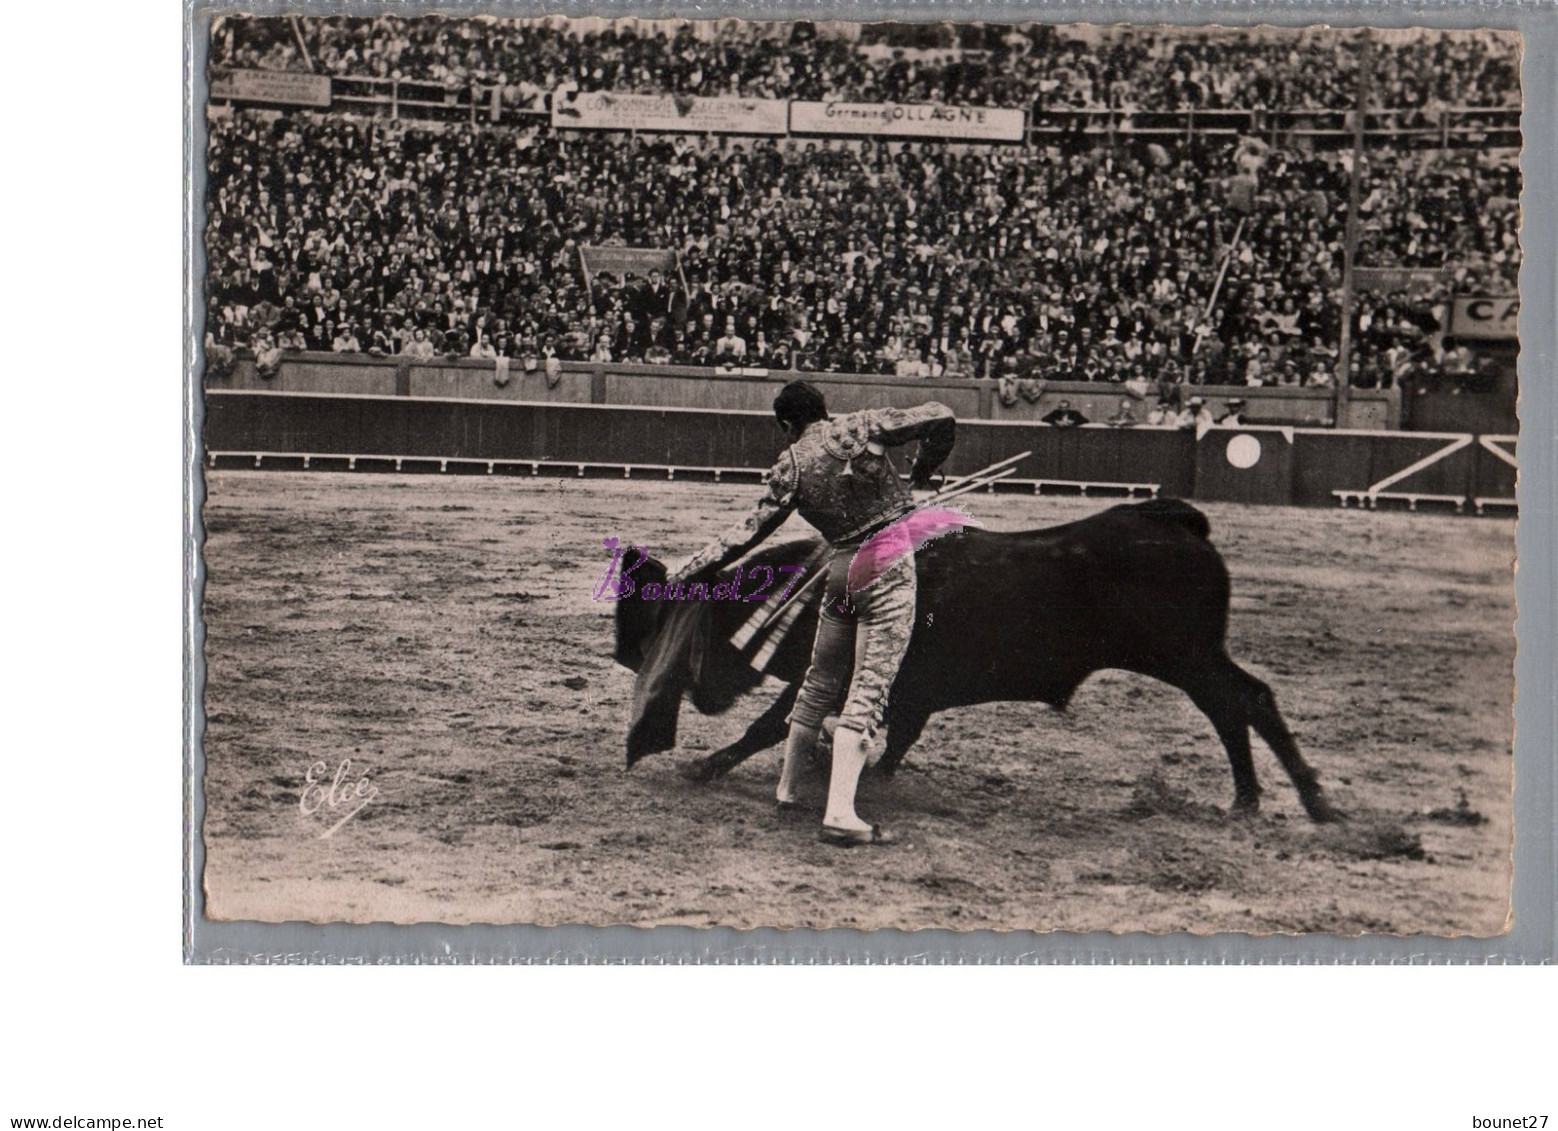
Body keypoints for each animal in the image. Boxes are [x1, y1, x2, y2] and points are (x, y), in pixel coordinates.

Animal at [607, 498, 1339, 822]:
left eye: (707, 629)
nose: (704, 698)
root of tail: (1176, 520)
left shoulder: (842, 675)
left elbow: (774, 723)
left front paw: (706, 765)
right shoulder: (907, 693)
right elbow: (895, 735)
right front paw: (868, 774)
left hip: (1185, 655)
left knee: (1244, 700)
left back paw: (1303, 799)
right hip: (1191, 657)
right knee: (1233, 704)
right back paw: (1249, 797)